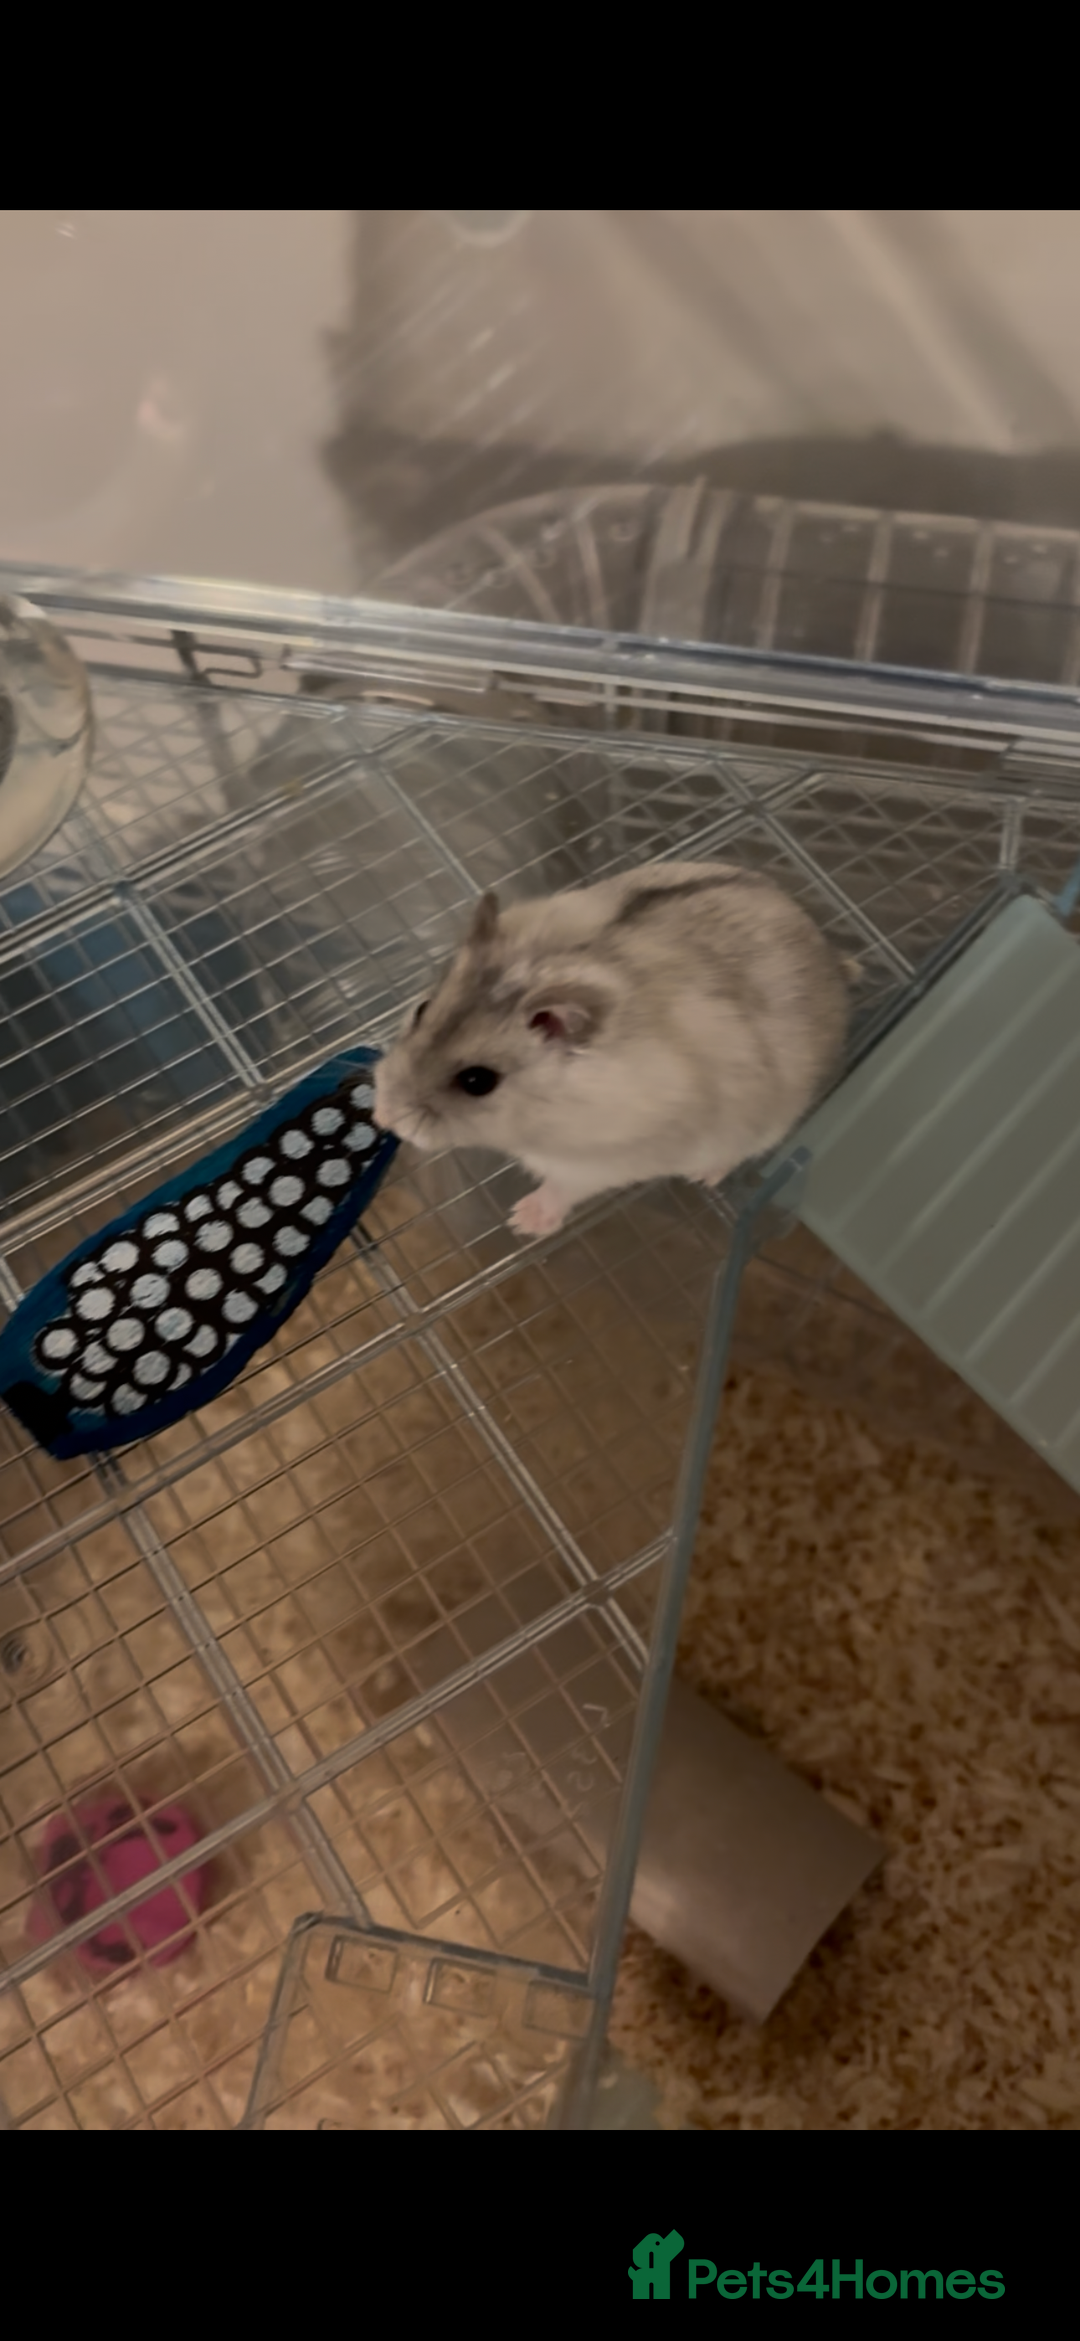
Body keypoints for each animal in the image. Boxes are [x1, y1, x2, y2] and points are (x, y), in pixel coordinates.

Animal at [372, 860, 851, 1238]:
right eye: (422, 1009)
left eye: (477, 1081)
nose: (385, 1117)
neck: (539, 1113)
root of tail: (830, 951)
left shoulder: (602, 1161)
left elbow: (564, 1187)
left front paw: (521, 1221)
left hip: (766, 1122)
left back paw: (702, 1176)